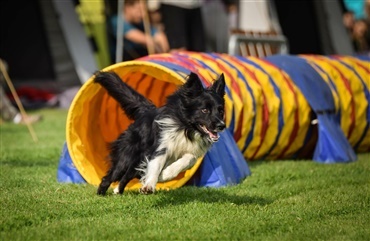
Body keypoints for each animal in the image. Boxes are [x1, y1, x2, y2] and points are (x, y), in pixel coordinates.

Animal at [93, 70, 225, 195]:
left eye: (221, 111)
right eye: (204, 110)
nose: (222, 125)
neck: (186, 128)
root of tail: (146, 112)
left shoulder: (192, 151)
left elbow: (189, 159)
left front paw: (164, 175)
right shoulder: (161, 146)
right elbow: (156, 165)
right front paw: (149, 186)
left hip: (137, 162)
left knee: (127, 175)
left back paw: (118, 191)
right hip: (127, 156)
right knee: (111, 176)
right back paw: (101, 193)